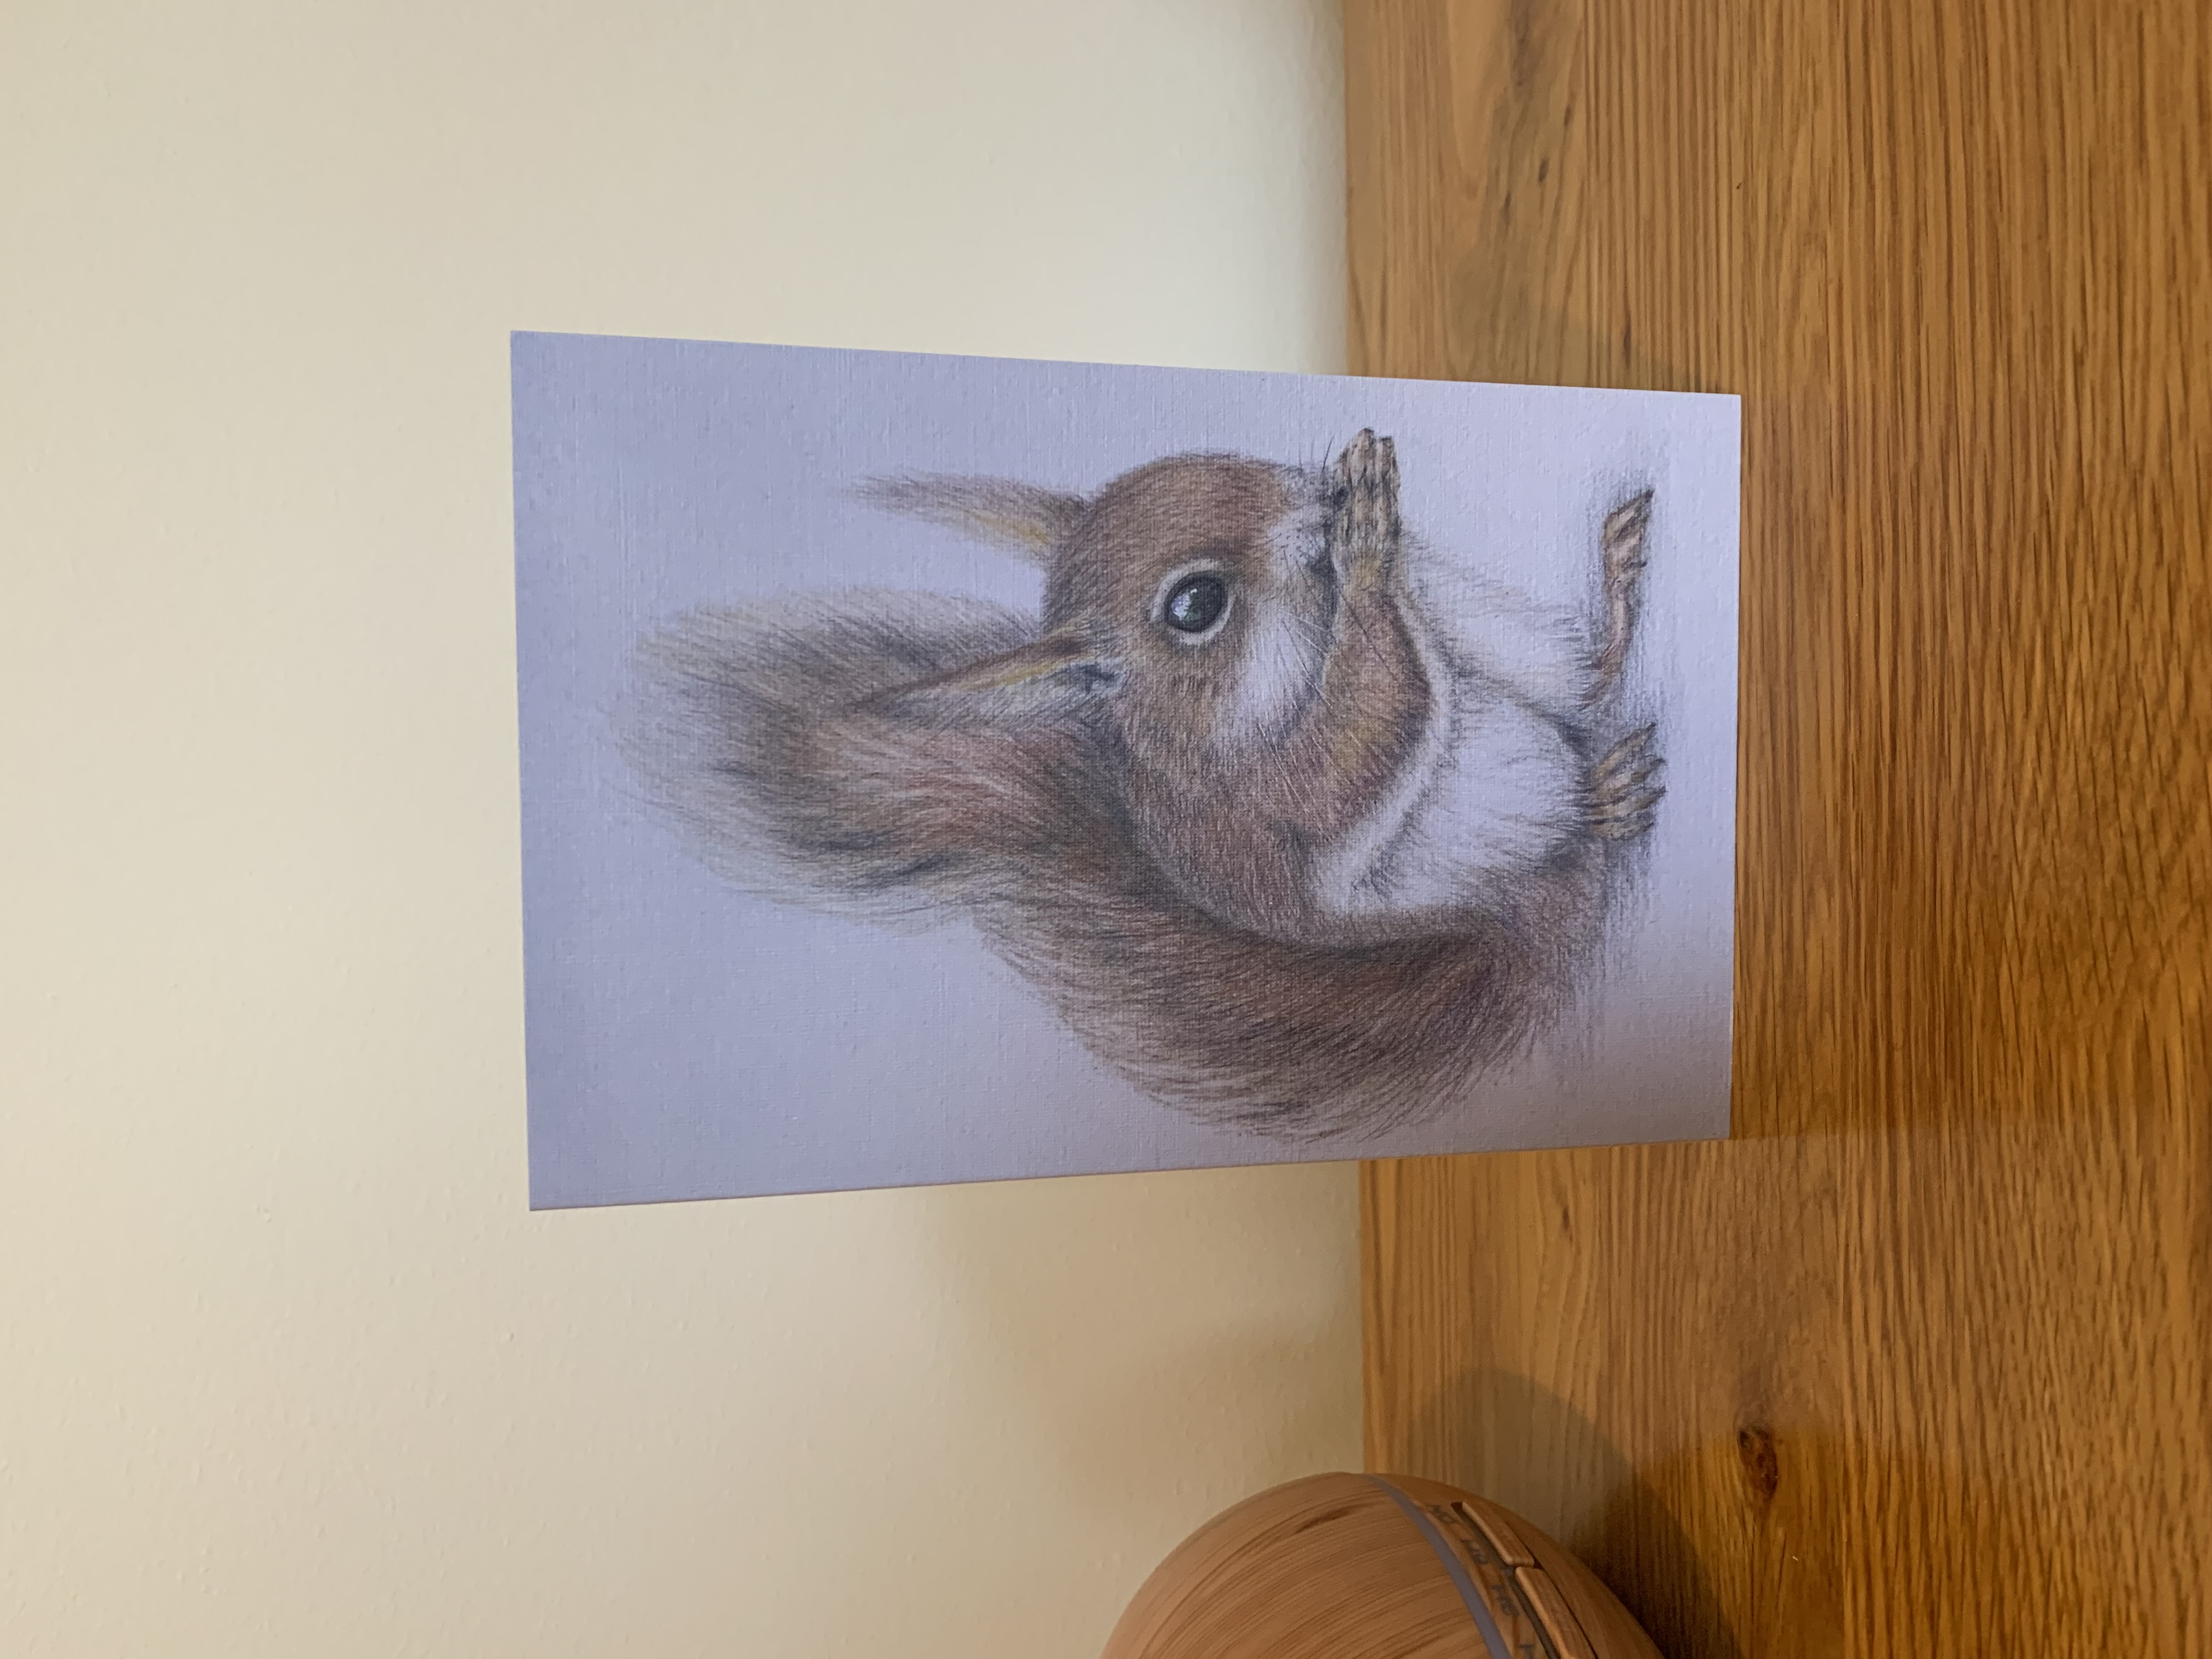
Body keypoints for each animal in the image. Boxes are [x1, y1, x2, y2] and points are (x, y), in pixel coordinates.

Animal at [627, 431, 1660, 1136]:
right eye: (1195, 604)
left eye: (1228, 464)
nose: (1323, 498)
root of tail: (1512, 928)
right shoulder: (1259, 800)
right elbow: (1350, 749)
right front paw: (1369, 551)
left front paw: (1375, 510)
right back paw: (1601, 800)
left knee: (1578, 673)